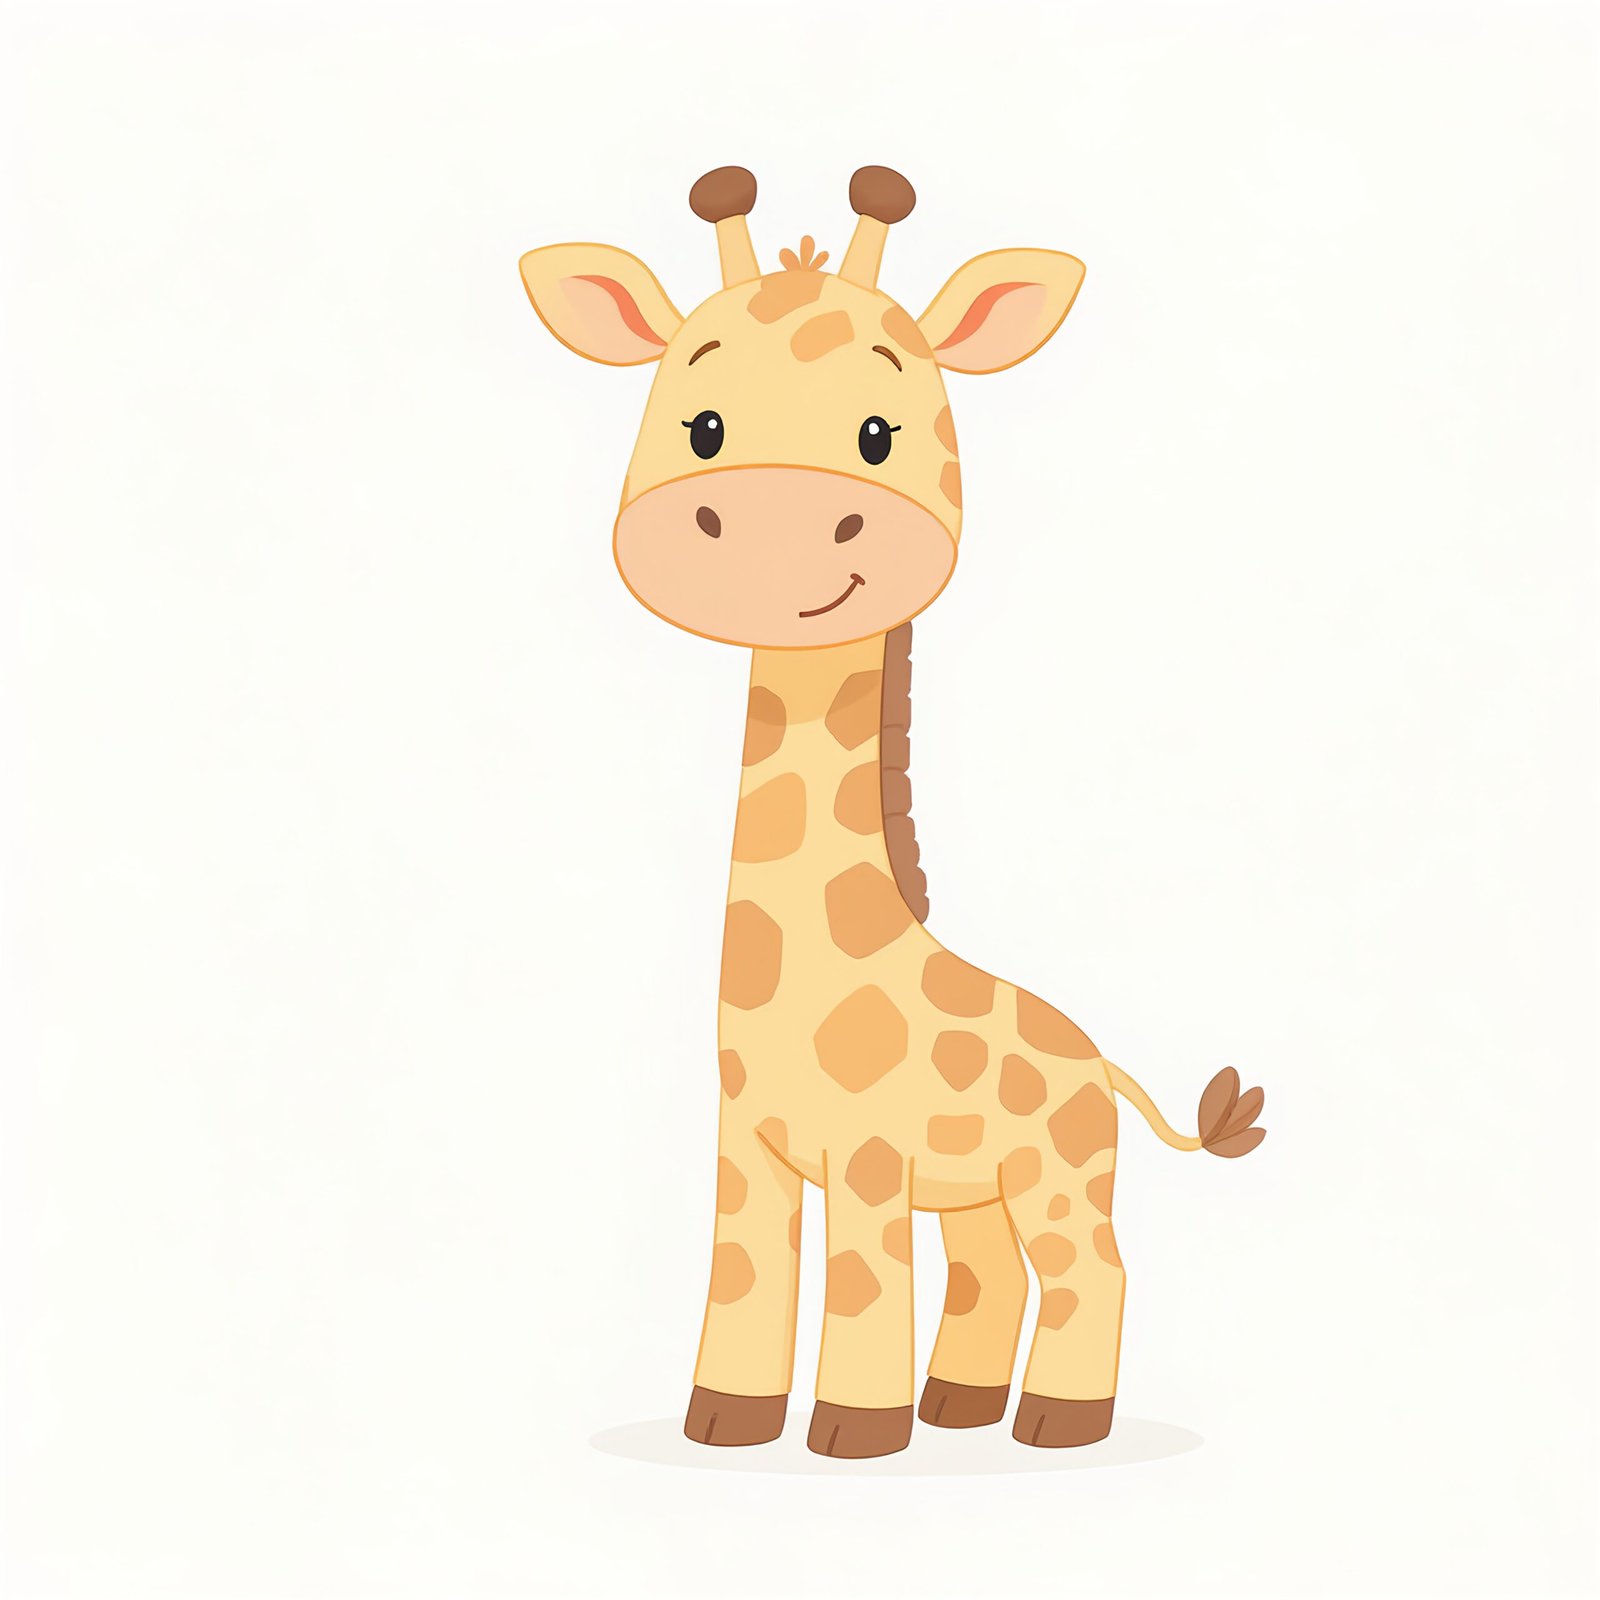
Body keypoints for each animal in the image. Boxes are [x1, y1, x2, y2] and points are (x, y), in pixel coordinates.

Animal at [519, 166, 1265, 1460]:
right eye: (699, 423)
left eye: (880, 433)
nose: (771, 522)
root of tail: (1103, 1064)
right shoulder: (747, 1150)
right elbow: (743, 1275)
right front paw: (725, 1420)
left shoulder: (868, 1158)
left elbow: (865, 1281)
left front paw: (851, 1431)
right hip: (981, 1186)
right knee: (992, 1272)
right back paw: (959, 1406)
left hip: (1063, 1173)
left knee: (1093, 1268)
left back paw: (1057, 1423)